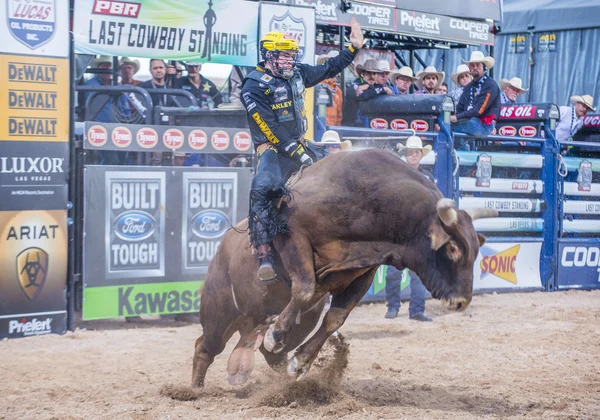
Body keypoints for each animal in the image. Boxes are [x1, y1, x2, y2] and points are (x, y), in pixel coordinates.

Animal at [192, 148, 496, 388]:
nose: (461, 301)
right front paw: (276, 334)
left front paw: (300, 363)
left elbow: (335, 318)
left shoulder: (364, 272)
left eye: (475, 252)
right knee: (205, 347)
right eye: (453, 249)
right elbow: (305, 288)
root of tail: (222, 249)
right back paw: (194, 389)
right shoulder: (294, 232)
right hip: (219, 311)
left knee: (268, 353)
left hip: (274, 320)